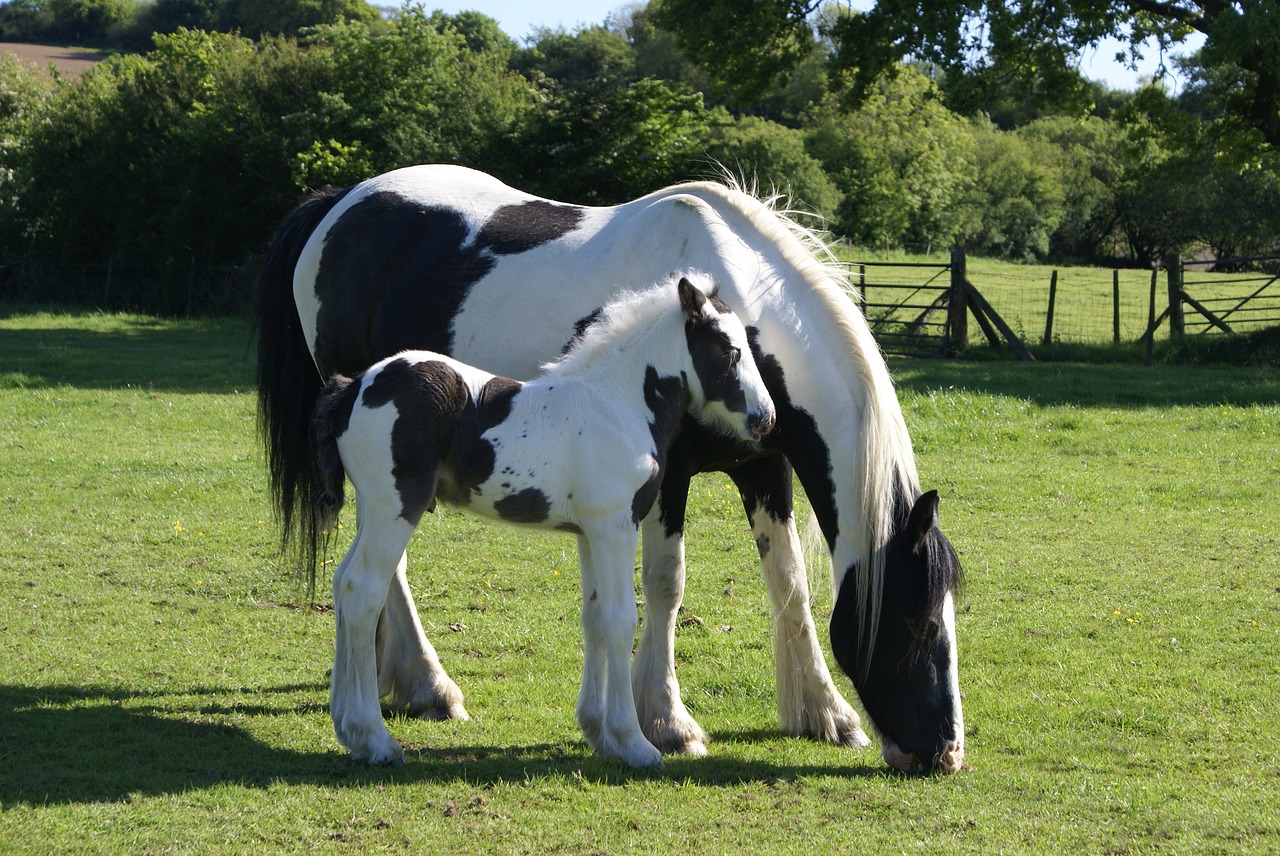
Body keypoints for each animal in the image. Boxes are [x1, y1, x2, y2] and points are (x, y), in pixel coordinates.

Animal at [307, 275, 778, 767]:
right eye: (728, 350)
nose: (765, 419)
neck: (619, 404)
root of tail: (354, 386)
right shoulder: (616, 526)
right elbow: (619, 621)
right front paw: (634, 743)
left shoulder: (589, 534)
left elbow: (594, 618)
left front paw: (600, 734)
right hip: (395, 507)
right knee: (363, 590)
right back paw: (374, 738)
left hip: (372, 507)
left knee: (342, 583)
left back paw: (347, 727)